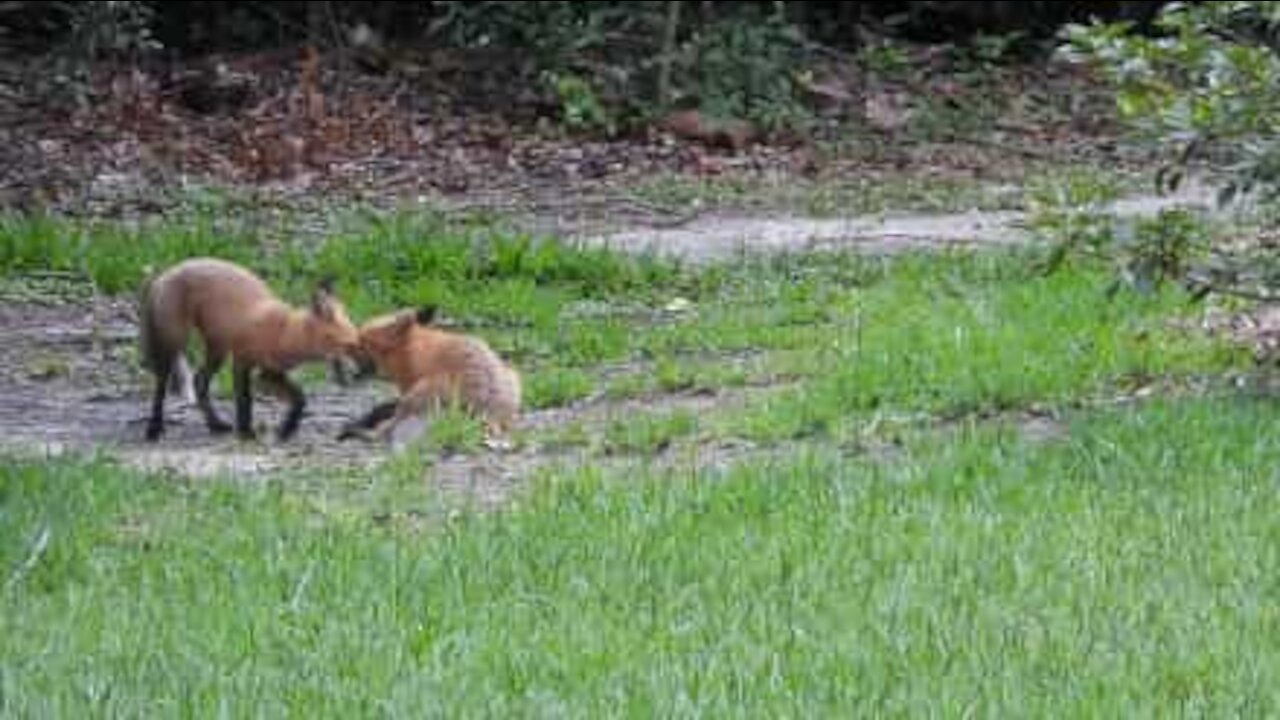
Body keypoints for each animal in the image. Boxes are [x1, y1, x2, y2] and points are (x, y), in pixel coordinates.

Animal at [138, 254, 363, 440]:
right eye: (349, 345)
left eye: (356, 342)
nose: (358, 373)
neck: (285, 333)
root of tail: (166, 272)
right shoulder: (242, 361)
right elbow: (244, 400)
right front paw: (246, 432)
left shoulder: (270, 373)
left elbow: (300, 398)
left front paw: (287, 429)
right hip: (174, 343)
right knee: (161, 386)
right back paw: (154, 428)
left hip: (217, 351)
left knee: (199, 381)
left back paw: (215, 424)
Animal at [340, 304, 524, 445]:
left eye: (361, 342)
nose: (344, 345)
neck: (411, 353)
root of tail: (491, 411)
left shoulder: (409, 392)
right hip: (513, 375)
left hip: (422, 393)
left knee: (383, 432)